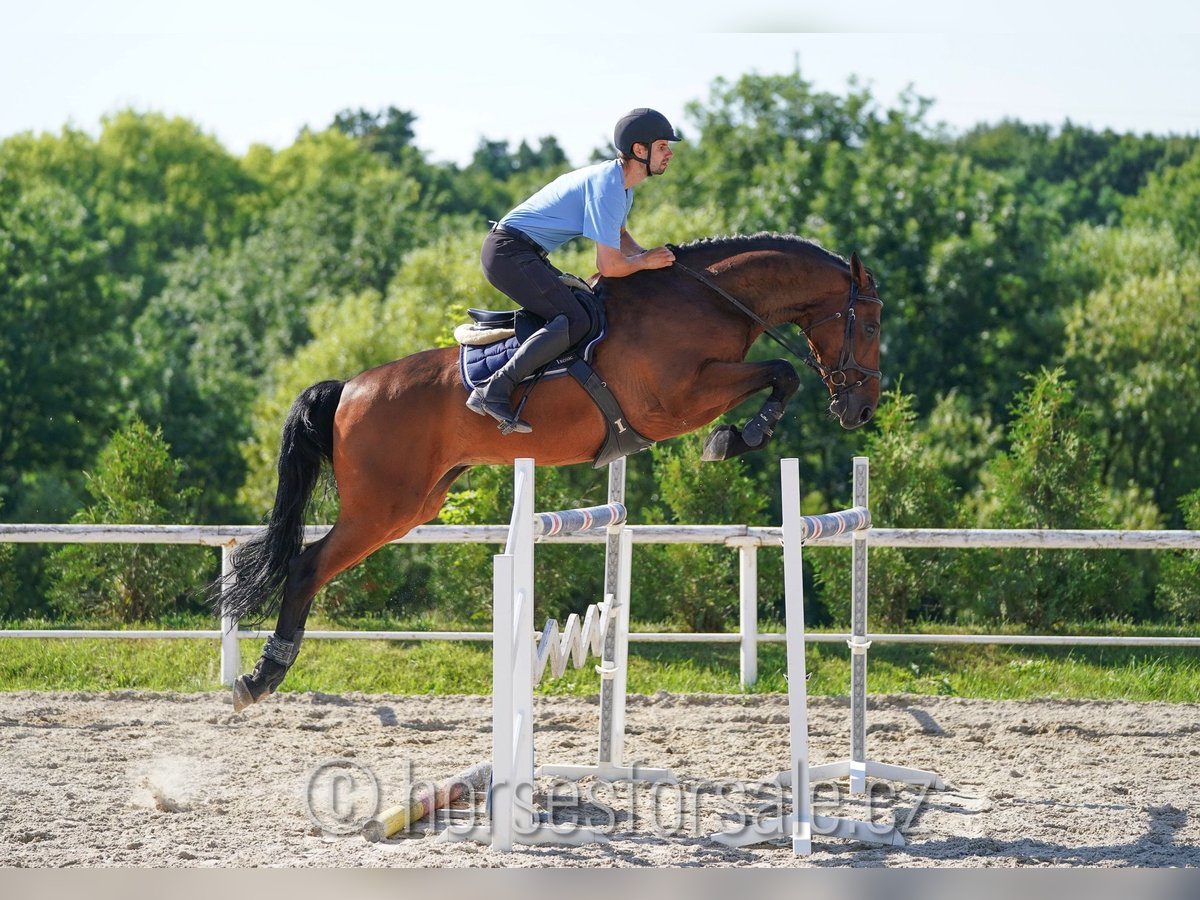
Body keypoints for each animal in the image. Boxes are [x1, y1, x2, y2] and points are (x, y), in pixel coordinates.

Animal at [218, 230, 883, 710]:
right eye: (871, 325)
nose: (862, 410)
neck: (708, 300)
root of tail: (349, 388)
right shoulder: (676, 402)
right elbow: (781, 371)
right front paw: (737, 437)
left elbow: (780, 373)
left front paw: (741, 435)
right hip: (380, 508)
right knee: (307, 567)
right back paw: (262, 675)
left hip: (413, 506)